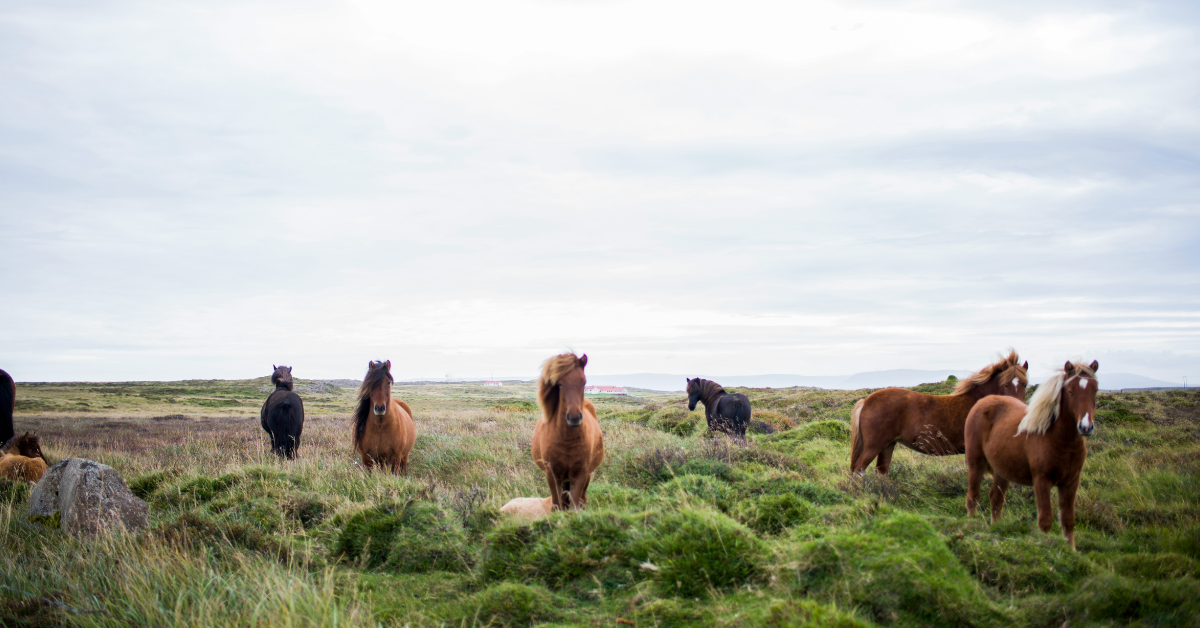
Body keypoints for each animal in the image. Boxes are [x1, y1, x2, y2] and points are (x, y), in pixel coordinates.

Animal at [531, 353, 604, 510]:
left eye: (583, 382)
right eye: (560, 384)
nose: (574, 417)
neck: (567, 440)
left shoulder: (581, 474)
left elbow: (574, 507)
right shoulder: (552, 475)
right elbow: (557, 504)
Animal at [849, 351, 1028, 475]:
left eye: (1025, 384)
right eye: (1005, 384)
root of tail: (866, 401)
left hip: (888, 445)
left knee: (881, 471)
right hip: (874, 446)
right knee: (858, 469)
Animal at [966, 360, 1098, 550]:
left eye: (1095, 390)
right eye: (1071, 391)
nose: (1085, 427)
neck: (1058, 439)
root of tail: (983, 401)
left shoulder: (1071, 482)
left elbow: (1068, 520)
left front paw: (1070, 551)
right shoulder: (1041, 480)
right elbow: (1045, 520)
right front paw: (1044, 547)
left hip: (1002, 471)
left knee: (996, 499)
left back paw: (996, 529)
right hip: (976, 463)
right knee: (973, 496)